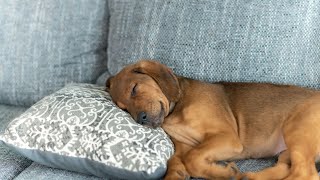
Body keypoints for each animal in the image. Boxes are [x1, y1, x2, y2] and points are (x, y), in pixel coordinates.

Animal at [105, 59, 320, 179]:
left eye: (134, 89)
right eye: (124, 109)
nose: (140, 119)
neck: (175, 113)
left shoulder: (226, 137)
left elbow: (192, 158)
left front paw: (223, 173)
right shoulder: (182, 147)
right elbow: (176, 161)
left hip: (296, 129)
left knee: (305, 174)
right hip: (287, 151)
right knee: (288, 168)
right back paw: (250, 177)